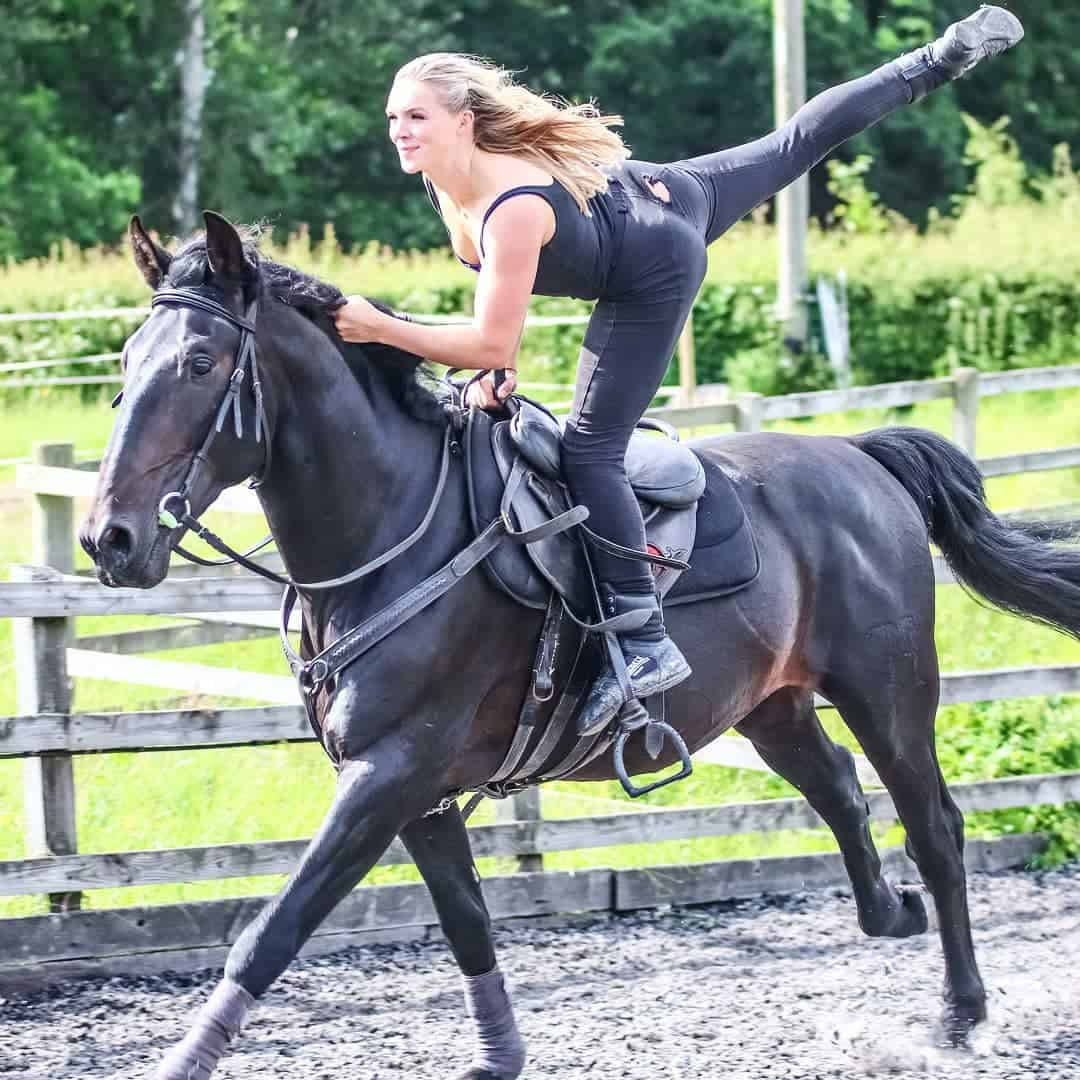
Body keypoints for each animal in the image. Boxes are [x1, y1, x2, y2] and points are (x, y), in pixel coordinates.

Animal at [79, 212, 1080, 1080]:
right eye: (125, 361)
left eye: (200, 361)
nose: (108, 540)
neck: (396, 532)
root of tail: (862, 458)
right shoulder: (416, 795)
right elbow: (468, 924)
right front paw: (499, 1057)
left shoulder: (389, 774)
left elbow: (274, 930)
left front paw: (181, 1062)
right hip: (773, 706)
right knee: (840, 790)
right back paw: (890, 913)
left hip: (889, 692)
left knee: (935, 826)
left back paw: (961, 1012)